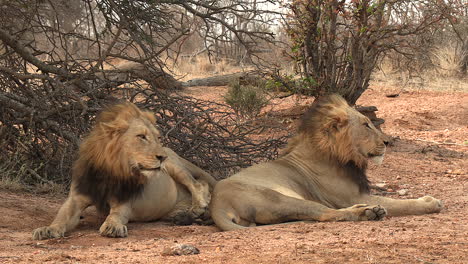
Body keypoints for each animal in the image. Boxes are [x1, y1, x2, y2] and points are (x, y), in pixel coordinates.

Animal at [32, 101, 216, 239]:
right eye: (141, 136)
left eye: (157, 137)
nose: (161, 157)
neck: (110, 169)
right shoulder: (76, 198)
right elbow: (61, 216)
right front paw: (48, 229)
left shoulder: (124, 200)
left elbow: (116, 215)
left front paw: (112, 226)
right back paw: (183, 215)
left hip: (174, 165)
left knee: (200, 184)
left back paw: (198, 207)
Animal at [211, 95, 442, 231]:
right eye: (366, 125)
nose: (387, 142)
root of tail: (217, 204)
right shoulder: (352, 196)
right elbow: (400, 204)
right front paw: (430, 202)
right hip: (281, 198)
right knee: (326, 213)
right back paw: (368, 212)